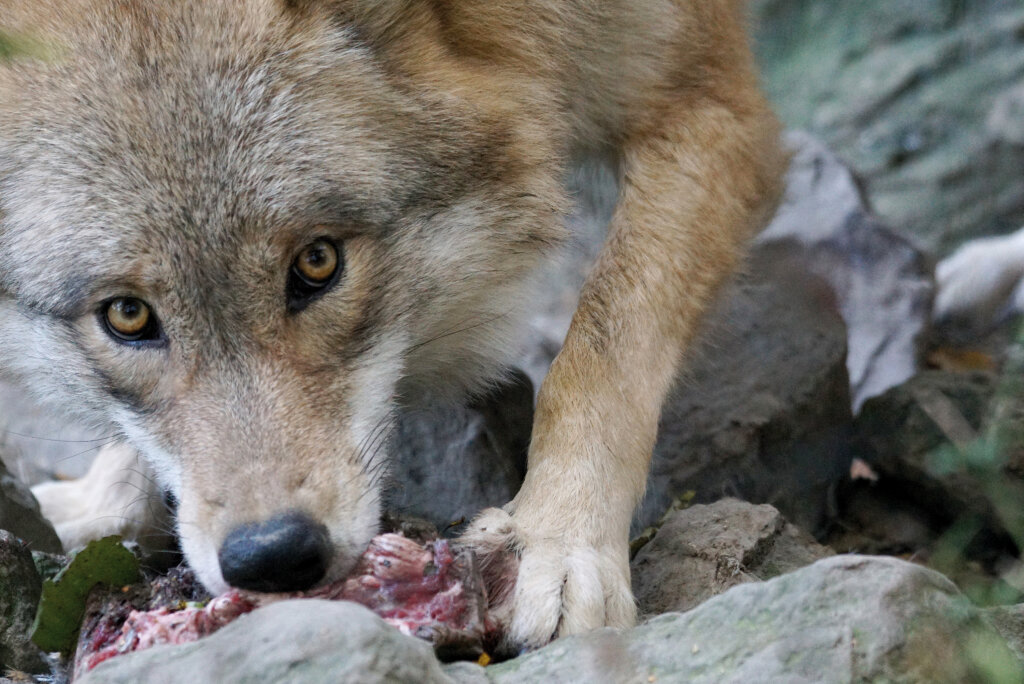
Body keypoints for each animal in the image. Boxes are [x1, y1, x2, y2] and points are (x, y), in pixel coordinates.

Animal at [0, 0, 784, 651]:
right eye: (127, 314)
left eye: (317, 262)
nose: (274, 555)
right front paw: (99, 502)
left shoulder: (707, 99)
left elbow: (603, 345)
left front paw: (556, 542)